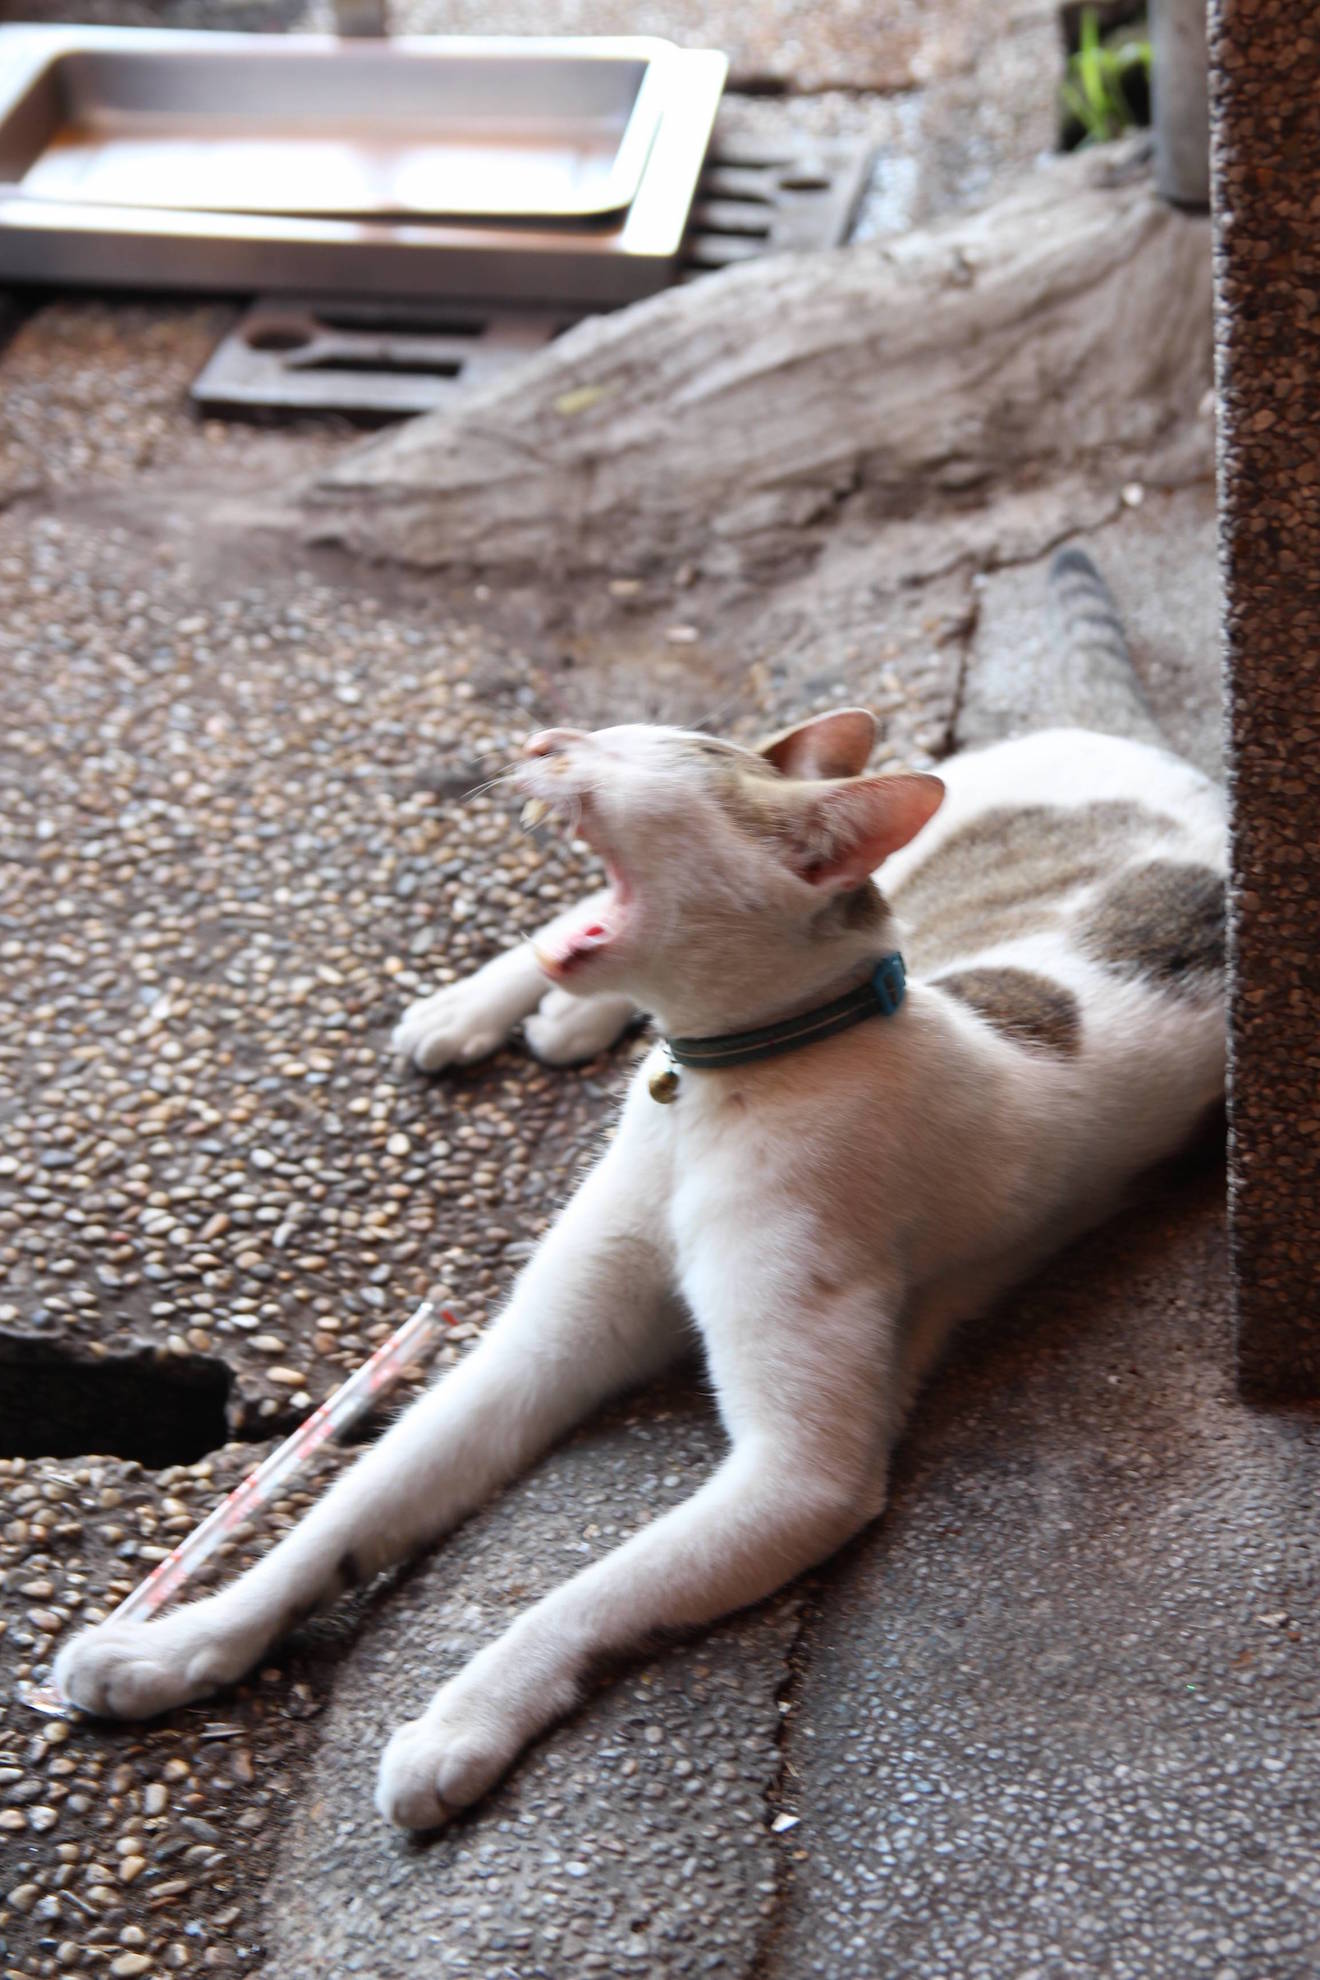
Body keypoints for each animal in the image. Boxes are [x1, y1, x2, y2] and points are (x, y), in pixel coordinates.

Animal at [54, 550, 1226, 1832]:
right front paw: (173, 1646)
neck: (716, 1085)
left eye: (630, 754)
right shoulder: (534, 1347)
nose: (542, 735)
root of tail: (1135, 743)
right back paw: (483, 1013)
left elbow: (581, 1594)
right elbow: (335, 1522)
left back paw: (560, 1022)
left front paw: (458, 1724)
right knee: (552, 927)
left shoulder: (797, 1473)